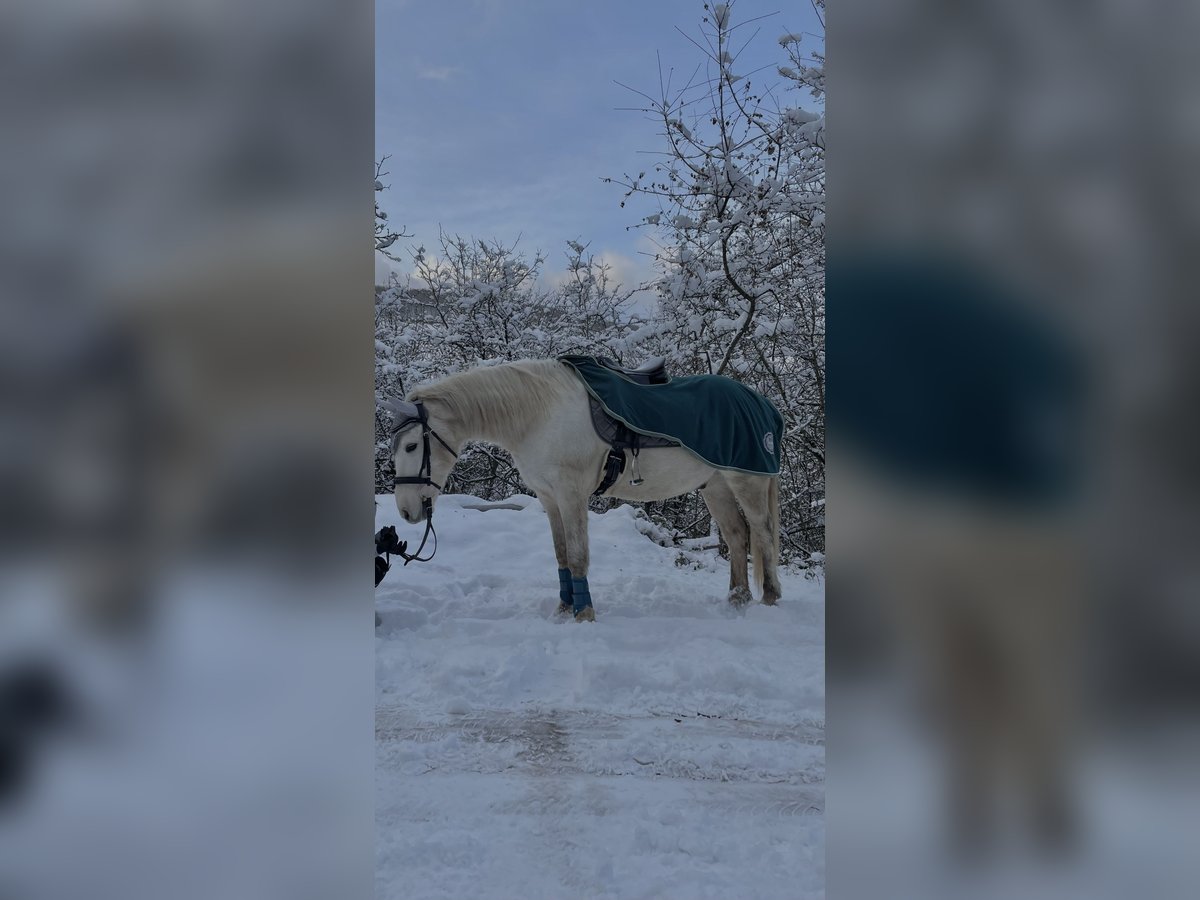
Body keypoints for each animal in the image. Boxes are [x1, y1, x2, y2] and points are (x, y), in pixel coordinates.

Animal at [388, 360, 782, 619]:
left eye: (411, 446)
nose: (407, 510)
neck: (539, 415)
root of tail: (763, 404)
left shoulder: (571, 495)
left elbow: (577, 555)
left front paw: (584, 613)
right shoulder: (549, 498)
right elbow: (562, 554)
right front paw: (564, 608)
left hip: (747, 480)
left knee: (761, 534)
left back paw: (769, 598)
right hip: (715, 486)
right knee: (737, 536)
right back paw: (737, 600)